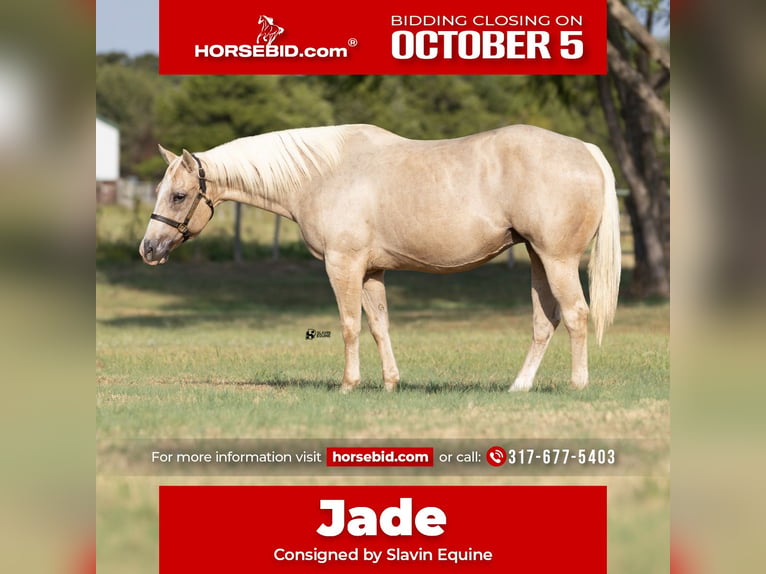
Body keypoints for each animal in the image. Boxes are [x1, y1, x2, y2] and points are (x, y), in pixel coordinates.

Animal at [140, 124, 621, 392]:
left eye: (179, 195)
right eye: (161, 190)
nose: (148, 249)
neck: (322, 173)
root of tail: (587, 150)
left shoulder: (343, 264)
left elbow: (350, 326)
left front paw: (348, 385)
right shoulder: (372, 270)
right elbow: (379, 326)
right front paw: (390, 384)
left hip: (558, 260)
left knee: (576, 315)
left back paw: (578, 385)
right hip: (538, 259)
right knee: (544, 322)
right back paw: (518, 387)